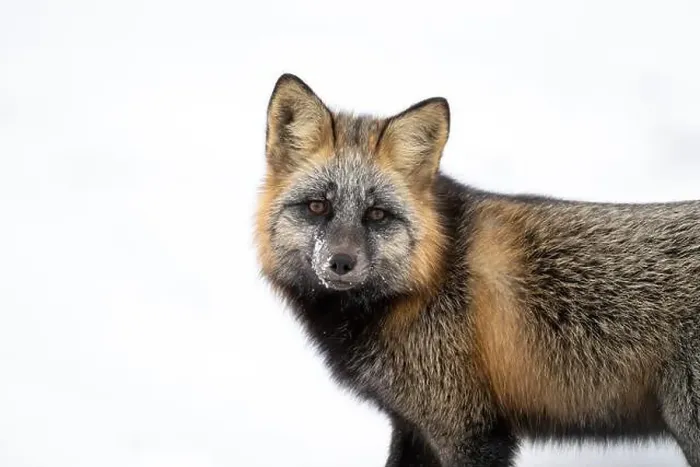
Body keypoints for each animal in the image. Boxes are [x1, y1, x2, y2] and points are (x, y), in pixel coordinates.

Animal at [253, 73, 700, 467]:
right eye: (317, 207)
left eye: (377, 214)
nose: (341, 263)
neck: (430, 277)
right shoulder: (414, 425)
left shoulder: (470, 429)